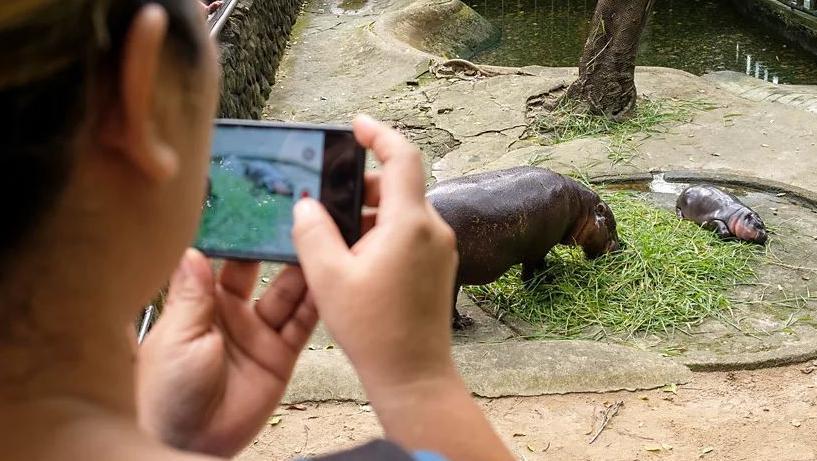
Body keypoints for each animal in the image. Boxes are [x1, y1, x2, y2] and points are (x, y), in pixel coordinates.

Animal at [428, 167, 620, 328]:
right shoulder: (536, 250)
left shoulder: (541, 248)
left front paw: (549, 275)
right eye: (612, 225)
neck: (581, 208)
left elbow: (542, 263)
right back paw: (464, 323)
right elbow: (528, 273)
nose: (620, 248)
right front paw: (538, 285)